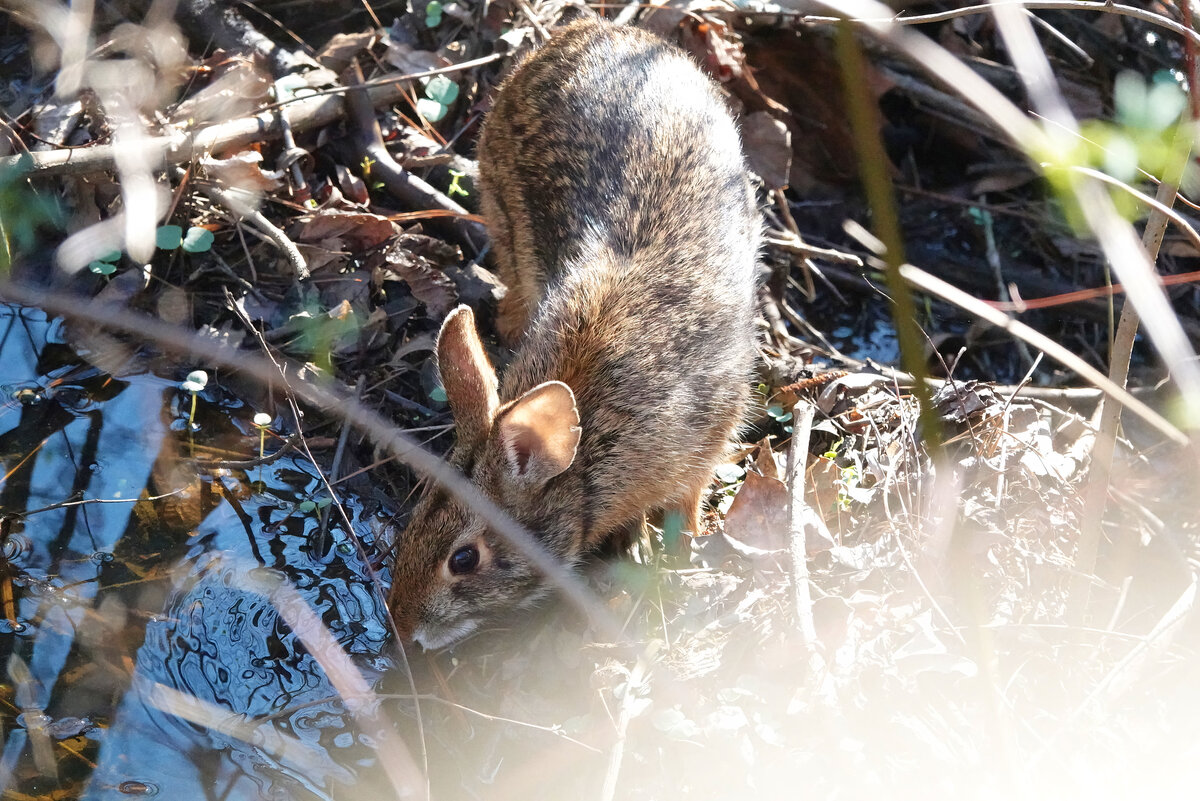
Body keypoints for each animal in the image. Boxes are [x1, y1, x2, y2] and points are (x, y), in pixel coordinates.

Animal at [388, 17, 758, 652]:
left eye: (464, 559)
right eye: (416, 512)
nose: (402, 627)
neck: (583, 469)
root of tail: (589, 32)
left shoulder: (710, 431)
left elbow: (690, 495)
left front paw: (672, 545)